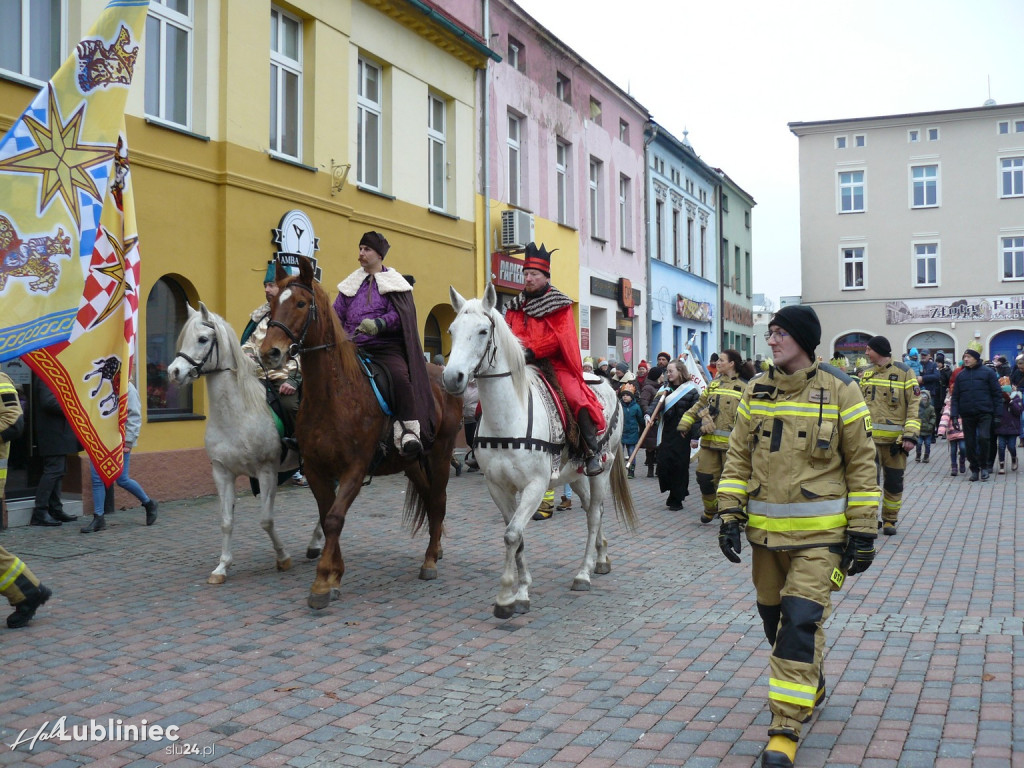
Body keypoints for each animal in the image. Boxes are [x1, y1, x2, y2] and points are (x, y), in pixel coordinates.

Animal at [166, 303, 323, 585]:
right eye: (183, 338)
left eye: (203, 339)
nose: (174, 372)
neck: (236, 415)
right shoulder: (222, 473)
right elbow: (226, 521)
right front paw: (221, 567)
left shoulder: (267, 471)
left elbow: (266, 520)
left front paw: (283, 557)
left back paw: (316, 544)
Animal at [258, 262, 462, 610]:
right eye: (272, 304)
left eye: (300, 303)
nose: (270, 352)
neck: (335, 393)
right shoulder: (316, 469)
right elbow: (327, 517)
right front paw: (333, 576)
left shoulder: (354, 468)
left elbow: (334, 519)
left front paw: (322, 582)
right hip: (411, 462)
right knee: (427, 496)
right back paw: (436, 550)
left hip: (442, 454)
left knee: (437, 500)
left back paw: (430, 561)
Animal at [444, 284, 634, 618]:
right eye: (452, 330)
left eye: (482, 331)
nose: (452, 377)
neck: (508, 416)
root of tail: (607, 385)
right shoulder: (498, 487)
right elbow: (515, 535)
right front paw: (520, 591)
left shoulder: (535, 485)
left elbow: (511, 534)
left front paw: (506, 596)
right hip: (575, 475)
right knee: (590, 509)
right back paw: (601, 558)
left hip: (602, 469)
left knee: (594, 515)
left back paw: (583, 573)